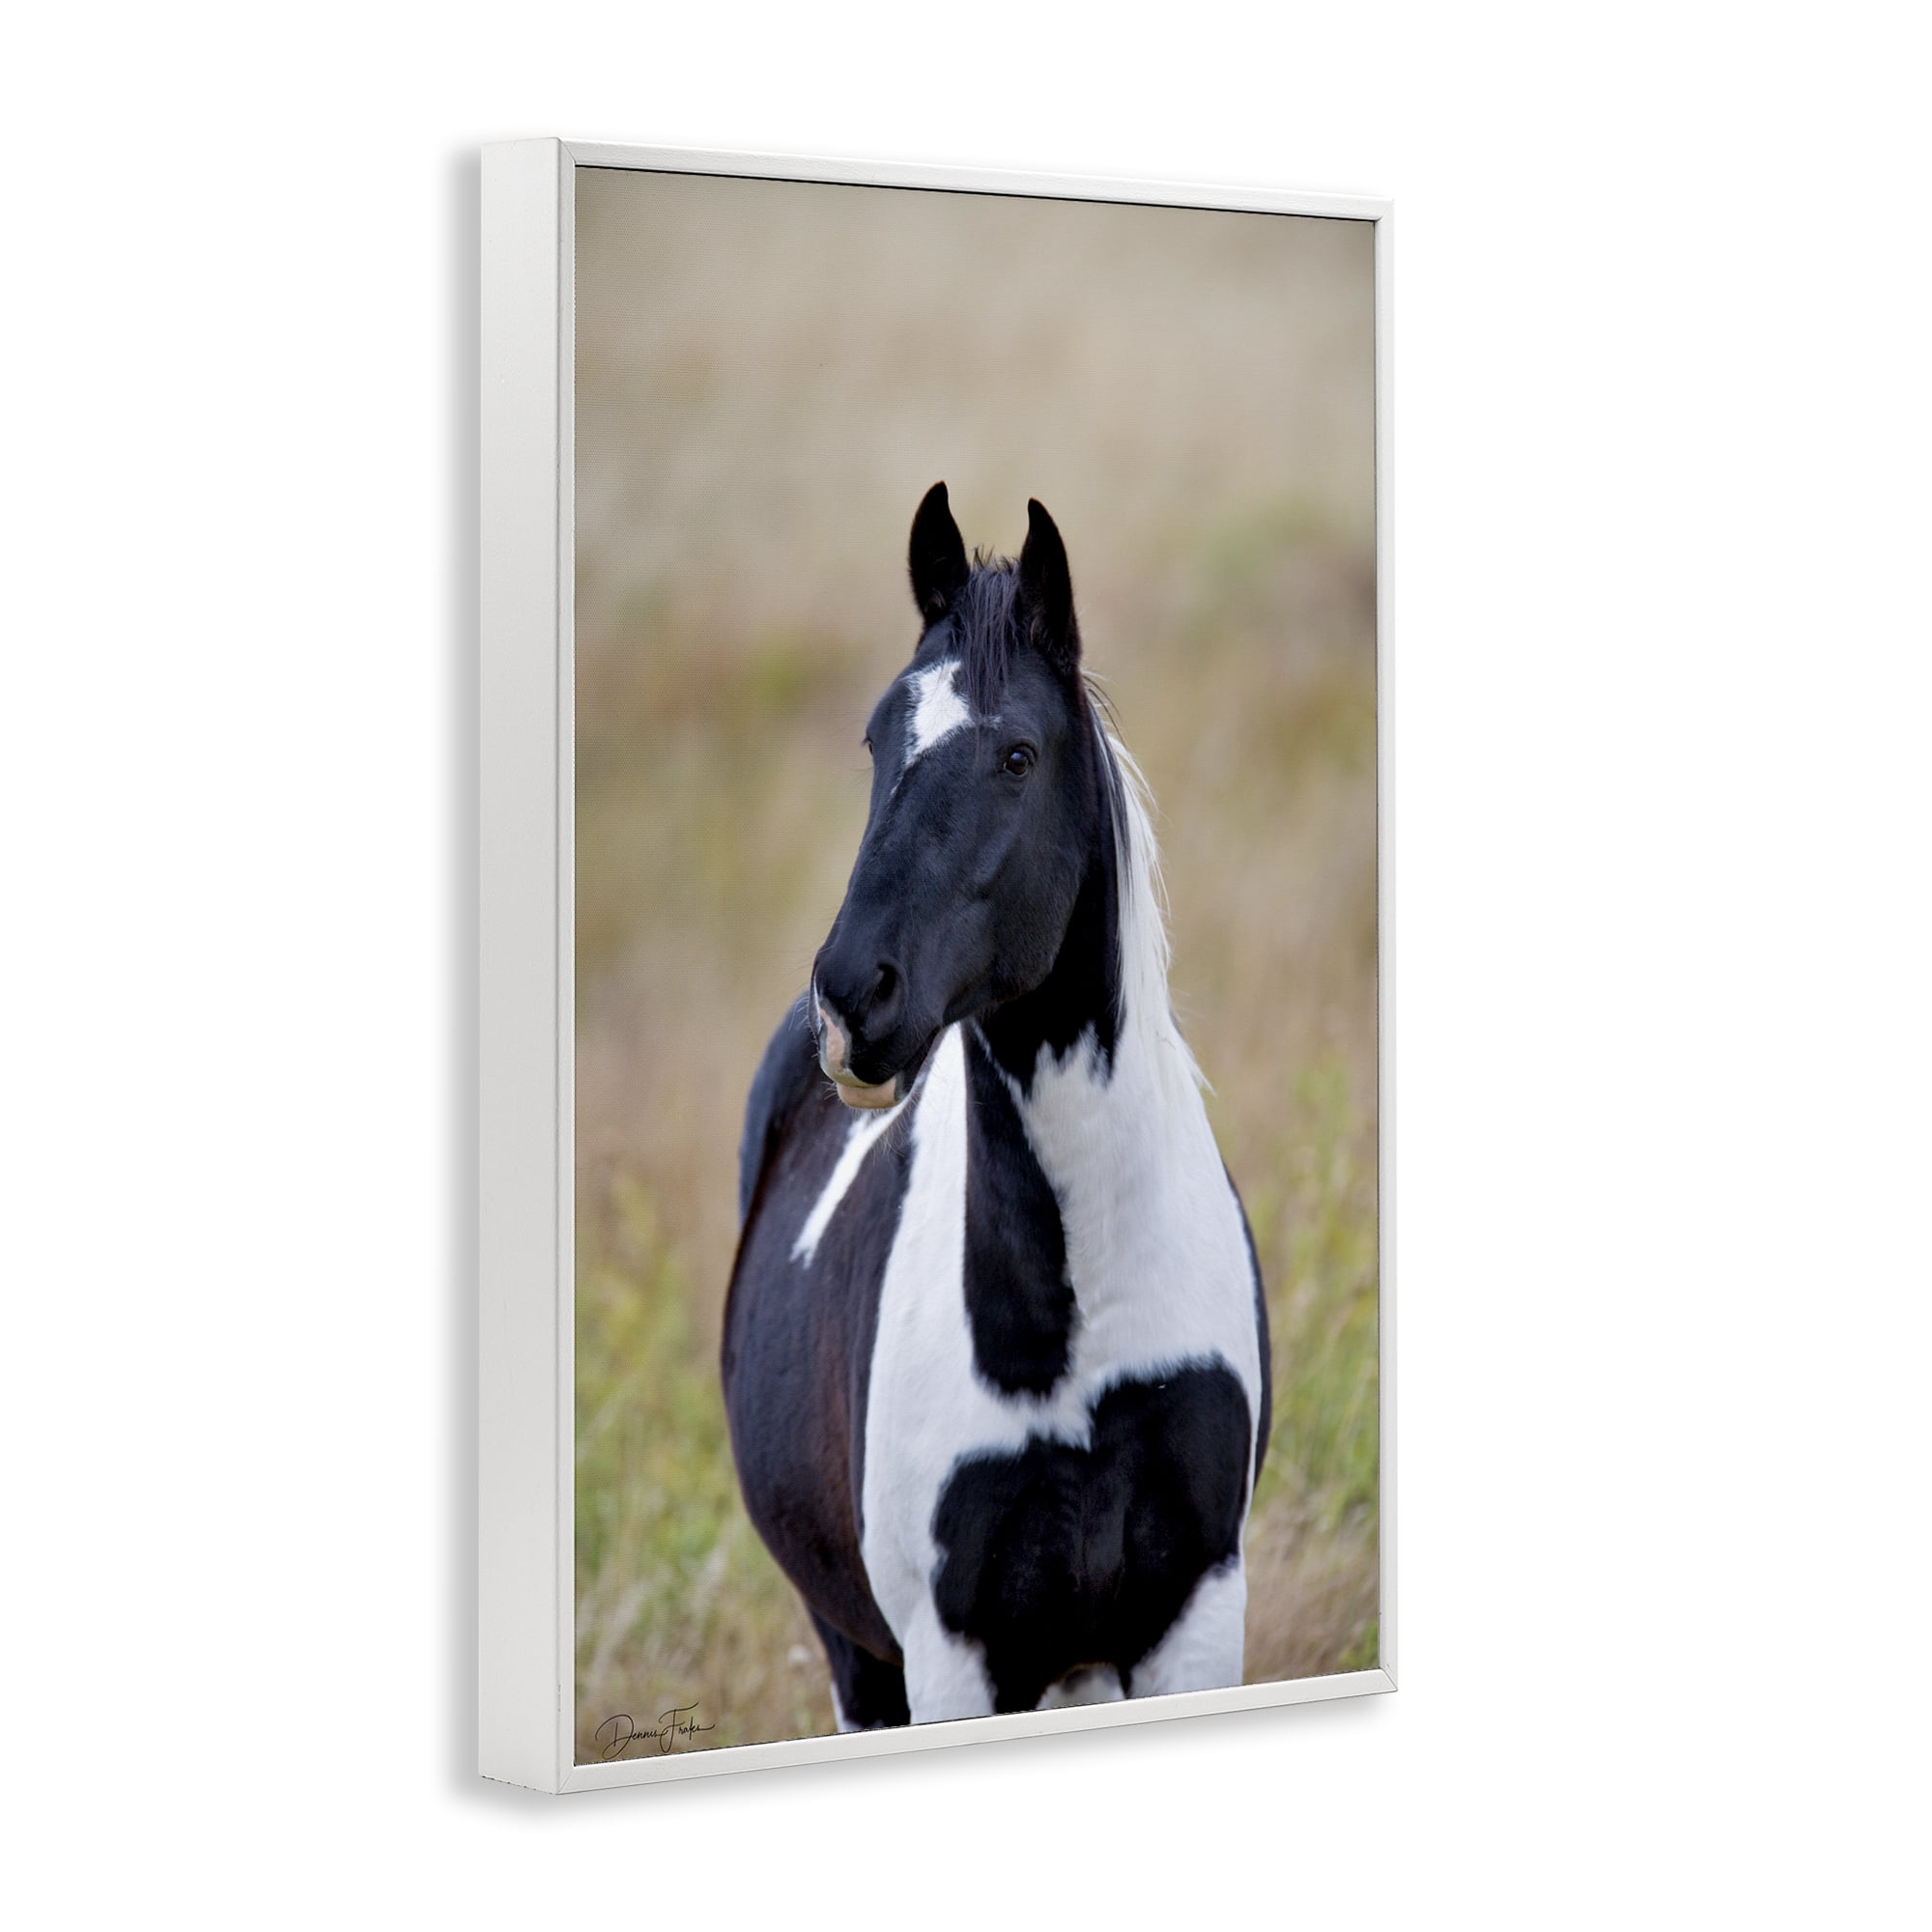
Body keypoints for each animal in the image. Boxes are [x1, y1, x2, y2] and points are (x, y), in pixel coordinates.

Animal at [721, 483, 1271, 1729]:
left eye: (1017, 754)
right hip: (857, 1655)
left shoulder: (1192, 1617)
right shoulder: (952, 1658)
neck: (1076, 1331)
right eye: (878, 739)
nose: (849, 998)